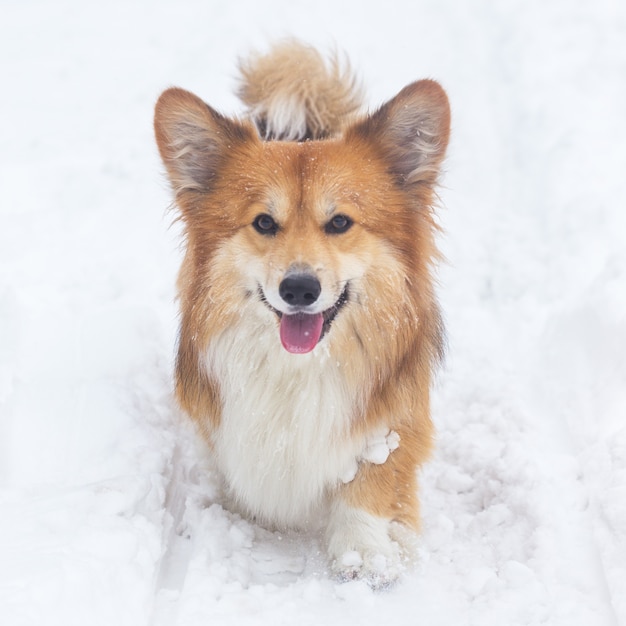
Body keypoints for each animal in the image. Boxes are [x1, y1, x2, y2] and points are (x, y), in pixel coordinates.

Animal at [155, 41, 448, 584]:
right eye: (264, 223)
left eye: (340, 222)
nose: (298, 288)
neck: (300, 367)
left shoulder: (397, 417)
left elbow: (373, 477)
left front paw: (363, 550)